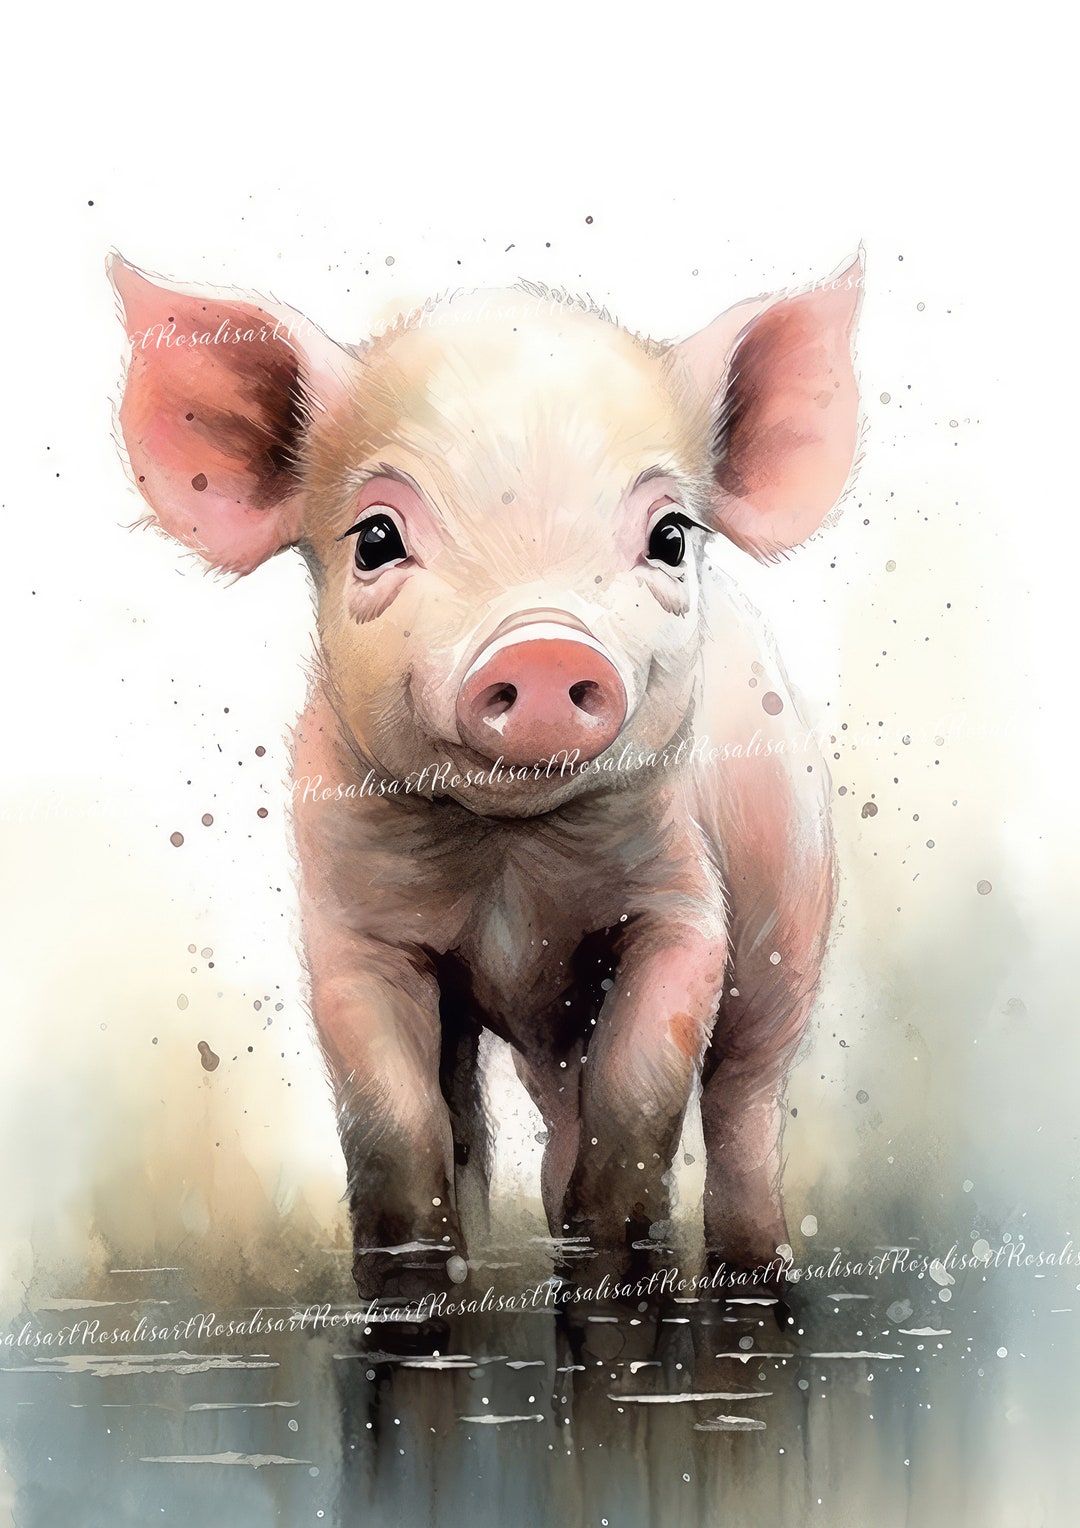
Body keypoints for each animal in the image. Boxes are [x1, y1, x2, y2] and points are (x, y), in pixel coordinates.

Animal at [109, 253, 861, 1299]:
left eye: (671, 537)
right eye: (375, 538)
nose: (543, 647)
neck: (512, 870)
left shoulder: (683, 903)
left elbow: (641, 1091)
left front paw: (614, 1275)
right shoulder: (354, 930)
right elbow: (393, 1122)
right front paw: (412, 1289)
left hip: (794, 906)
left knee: (744, 1091)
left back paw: (746, 1271)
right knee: (498, 1115)